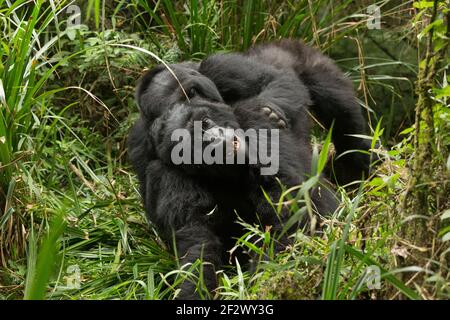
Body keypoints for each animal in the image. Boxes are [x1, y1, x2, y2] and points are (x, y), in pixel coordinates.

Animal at [126, 40, 372, 300]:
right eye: (192, 143)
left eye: (205, 122)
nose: (214, 138)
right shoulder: (161, 169)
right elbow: (197, 241)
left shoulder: (247, 112)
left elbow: (288, 215)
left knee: (340, 113)